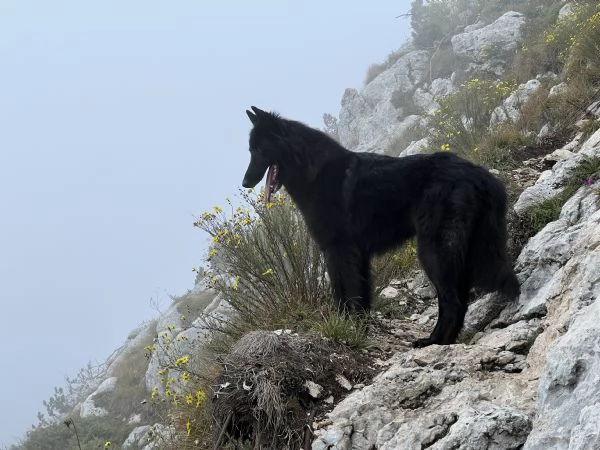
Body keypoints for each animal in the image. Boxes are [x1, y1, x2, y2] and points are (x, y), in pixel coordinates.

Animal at [241, 107, 516, 346]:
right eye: (250, 150)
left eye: (259, 149)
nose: (245, 182)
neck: (314, 171)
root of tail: (480, 175)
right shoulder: (357, 255)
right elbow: (361, 296)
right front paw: (356, 328)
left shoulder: (339, 251)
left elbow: (344, 293)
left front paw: (346, 328)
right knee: (460, 301)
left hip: (433, 252)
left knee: (452, 302)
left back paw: (433, 342)